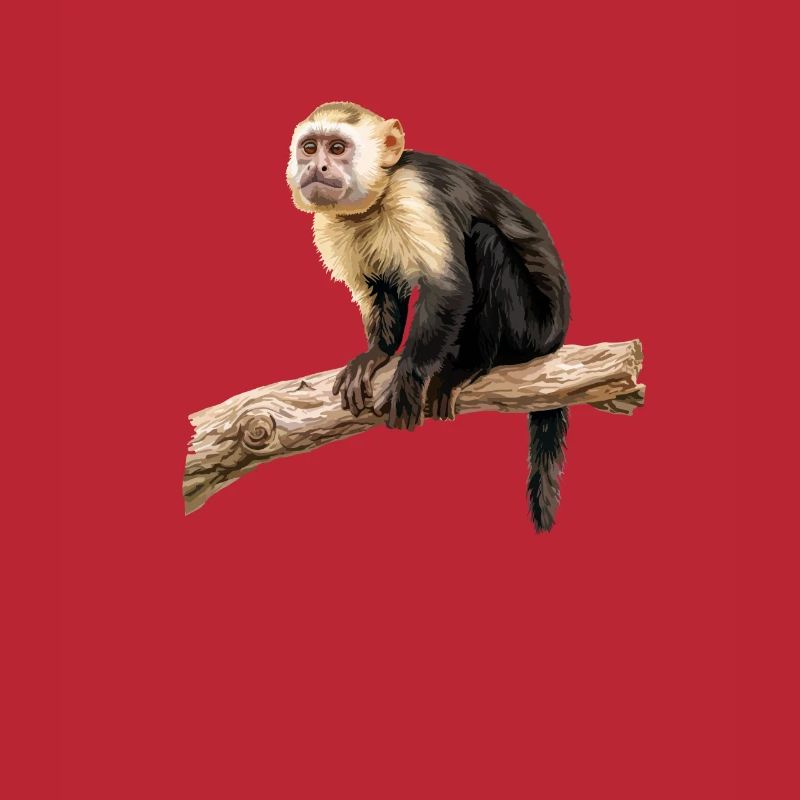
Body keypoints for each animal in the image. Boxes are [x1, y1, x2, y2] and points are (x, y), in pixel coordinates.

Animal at [286, 102, 570, 532]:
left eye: (336, 148)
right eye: (309, 148)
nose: (316, 167)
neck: (378, 196)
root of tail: (557, 337)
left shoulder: (415, 194)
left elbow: (449, 287)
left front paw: (409, 375)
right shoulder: (335, 226)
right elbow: (380, 288)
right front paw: (378, 354)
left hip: (534, 330)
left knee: (487, 243)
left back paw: (471, 364)